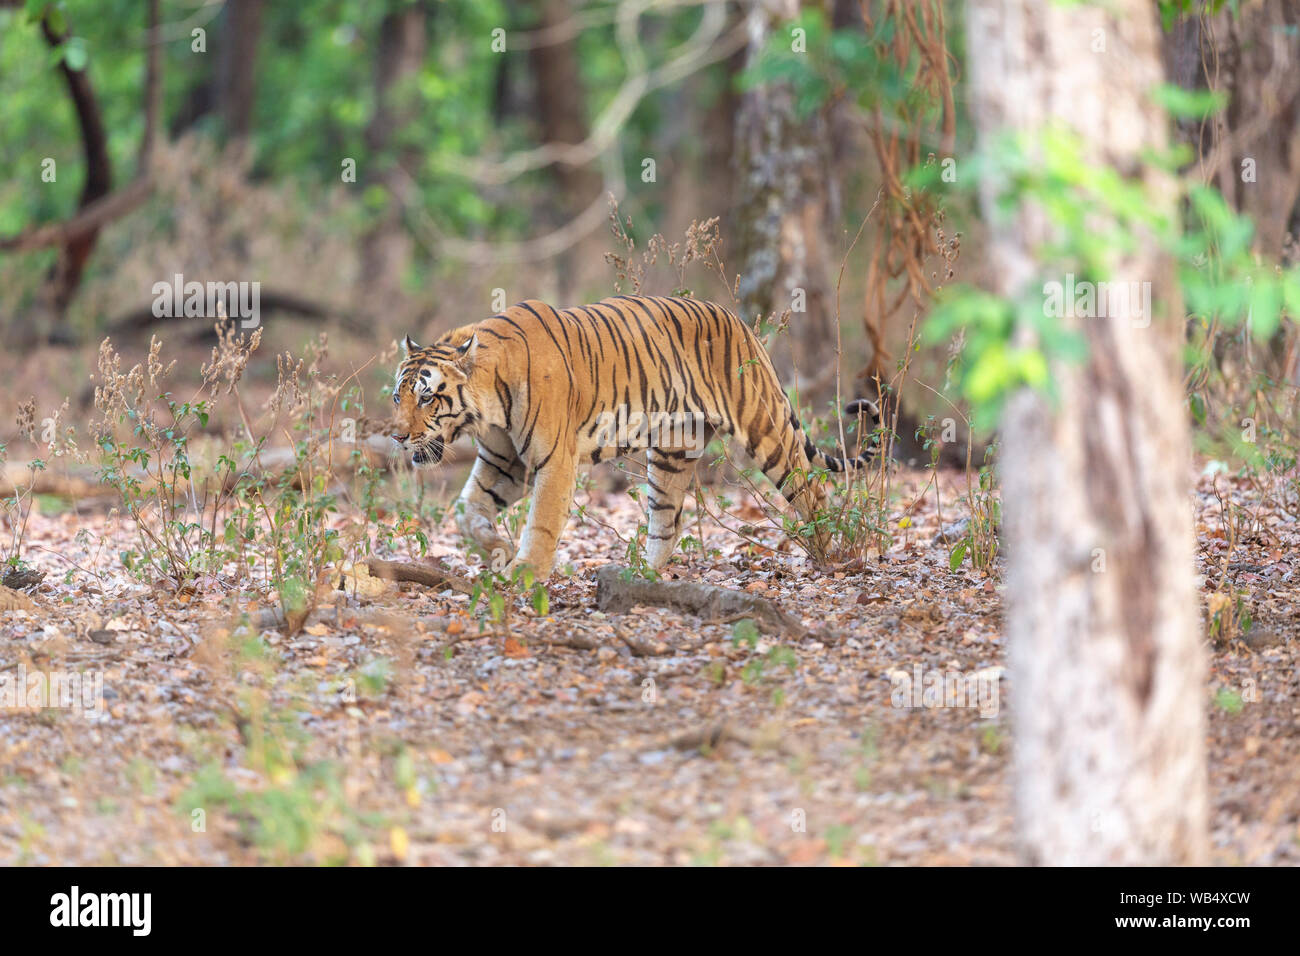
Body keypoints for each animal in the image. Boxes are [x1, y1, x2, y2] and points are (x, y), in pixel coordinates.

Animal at [390, 297, 878, 582]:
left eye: (428, 397)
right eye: (399, 396)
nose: (396, 436)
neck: (488, 405)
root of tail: (742, 323)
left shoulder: (553, 460)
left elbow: (542, 523)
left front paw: (524, 572)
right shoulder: (503, 461)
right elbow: (466, 510)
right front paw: (498, 550)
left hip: (765, 428)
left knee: (810, 489)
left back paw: (826, 554)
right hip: (672, 453)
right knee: (667, 521)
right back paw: (639, 573)